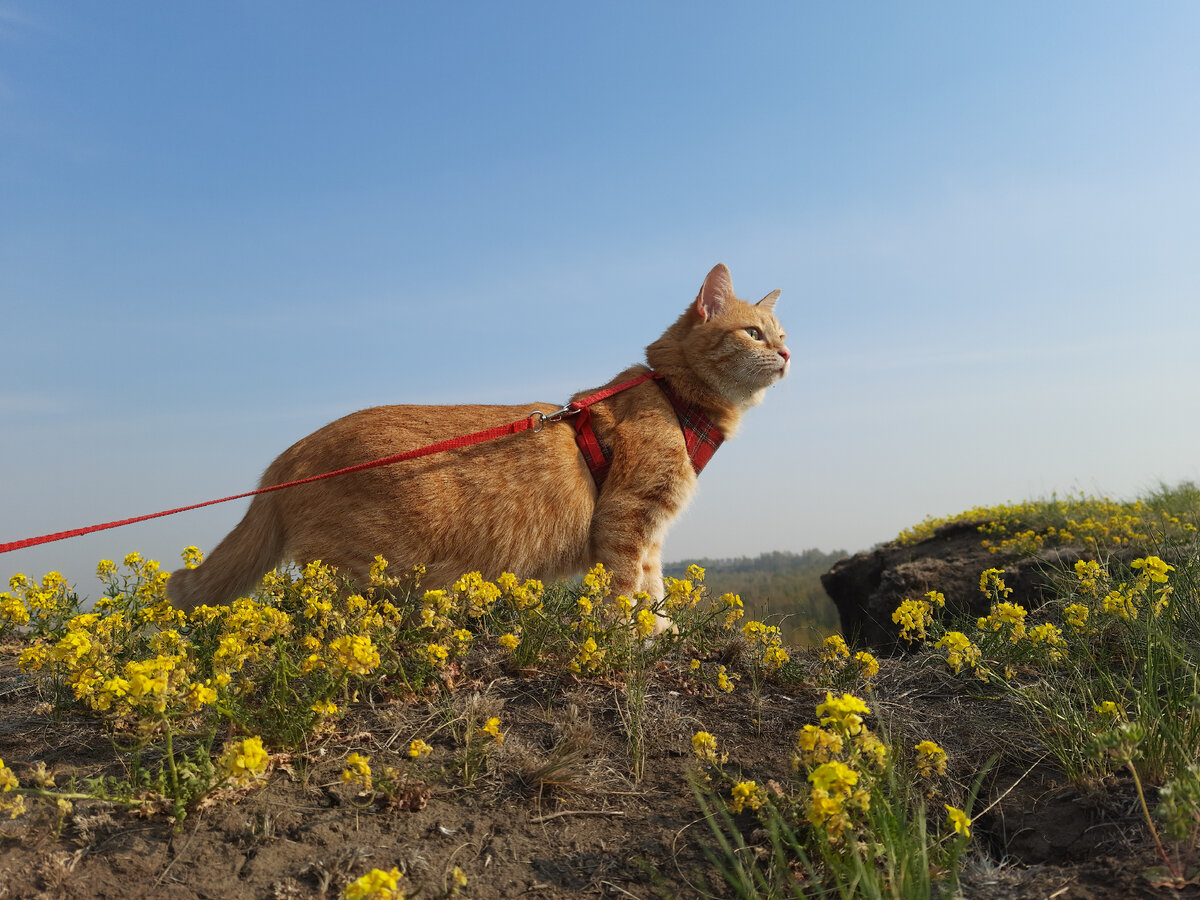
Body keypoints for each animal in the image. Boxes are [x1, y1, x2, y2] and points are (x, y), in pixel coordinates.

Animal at [169, 264, 787, 628]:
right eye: (753, 333)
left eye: (782, 334)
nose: (786, 355)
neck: (677, 398)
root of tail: (286, 456)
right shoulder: (627, 517)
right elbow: (624, 587)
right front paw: (627, 636)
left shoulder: (652, 533)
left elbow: (652, 587)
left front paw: (657, 631)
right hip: (363, 575)